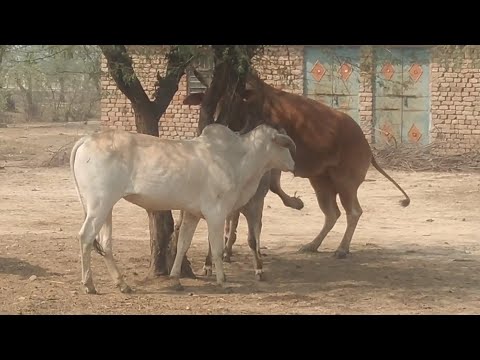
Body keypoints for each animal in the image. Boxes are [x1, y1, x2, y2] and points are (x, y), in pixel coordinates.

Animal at [69, 122, 294, 294]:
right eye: (284, 146)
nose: (293, 163)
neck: (237, 159)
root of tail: (87, 139)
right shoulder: (216, 213)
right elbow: (217, 249)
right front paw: (222, 281)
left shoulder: (192, 214)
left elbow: (183, 244)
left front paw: (176, 278)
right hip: (99, 203)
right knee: (85, 237)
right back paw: (89, 284)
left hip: (106, 207)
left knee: (105, 243)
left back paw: (122, 284)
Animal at [184, 73, 408, 260]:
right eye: (212, 101)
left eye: (233, 101)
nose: (216, 123)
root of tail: (366, 145)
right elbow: (237, 208)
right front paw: (228, 247)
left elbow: (270, 190)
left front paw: (296, 203)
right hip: (321, 182)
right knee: (332, 213)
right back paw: (312, 245)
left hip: (346, 183)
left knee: (353, 212)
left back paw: (342, 249)